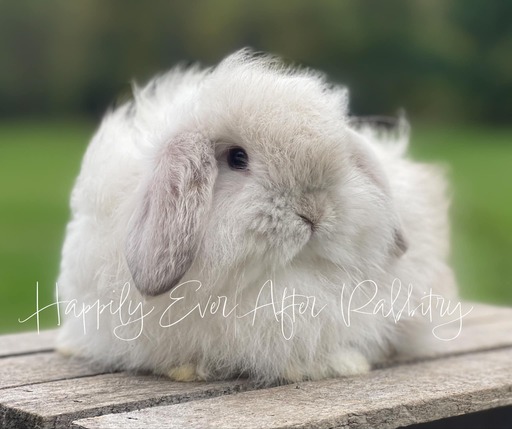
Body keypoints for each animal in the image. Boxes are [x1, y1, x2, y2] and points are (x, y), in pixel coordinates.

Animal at [58, 49, 458, 384]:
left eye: (344, 160)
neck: (281, 279)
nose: (314, 211)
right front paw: (189, 369)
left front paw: (339, 364)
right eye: (237, 158)